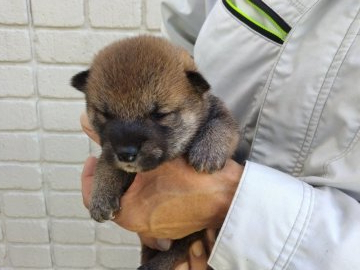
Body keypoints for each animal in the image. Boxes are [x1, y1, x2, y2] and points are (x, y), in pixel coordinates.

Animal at [70, 36, 239, 270]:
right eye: (105, 114)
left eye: (160, 114)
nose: (126, 153)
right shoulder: (108, 150)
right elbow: (106, 164)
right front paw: (101, 195)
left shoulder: (219, 111)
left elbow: (222, 123)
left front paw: (209, 150)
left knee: (179, 248)